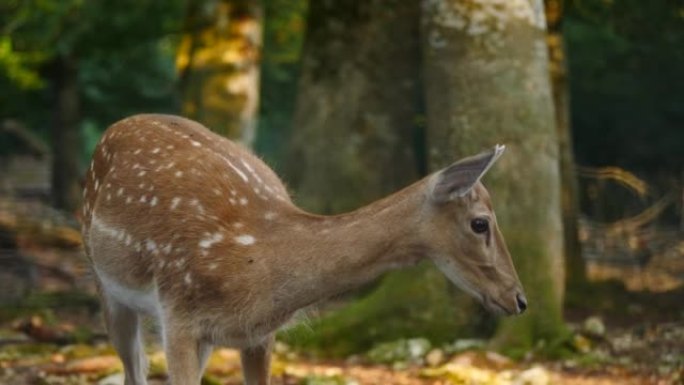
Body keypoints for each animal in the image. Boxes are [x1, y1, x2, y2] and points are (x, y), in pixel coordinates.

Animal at [81, 114, 528, 384]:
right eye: (480, 223)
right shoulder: (178, 315)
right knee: (133, 369)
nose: (519, 299)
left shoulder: (258, 334)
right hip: (104, 283)